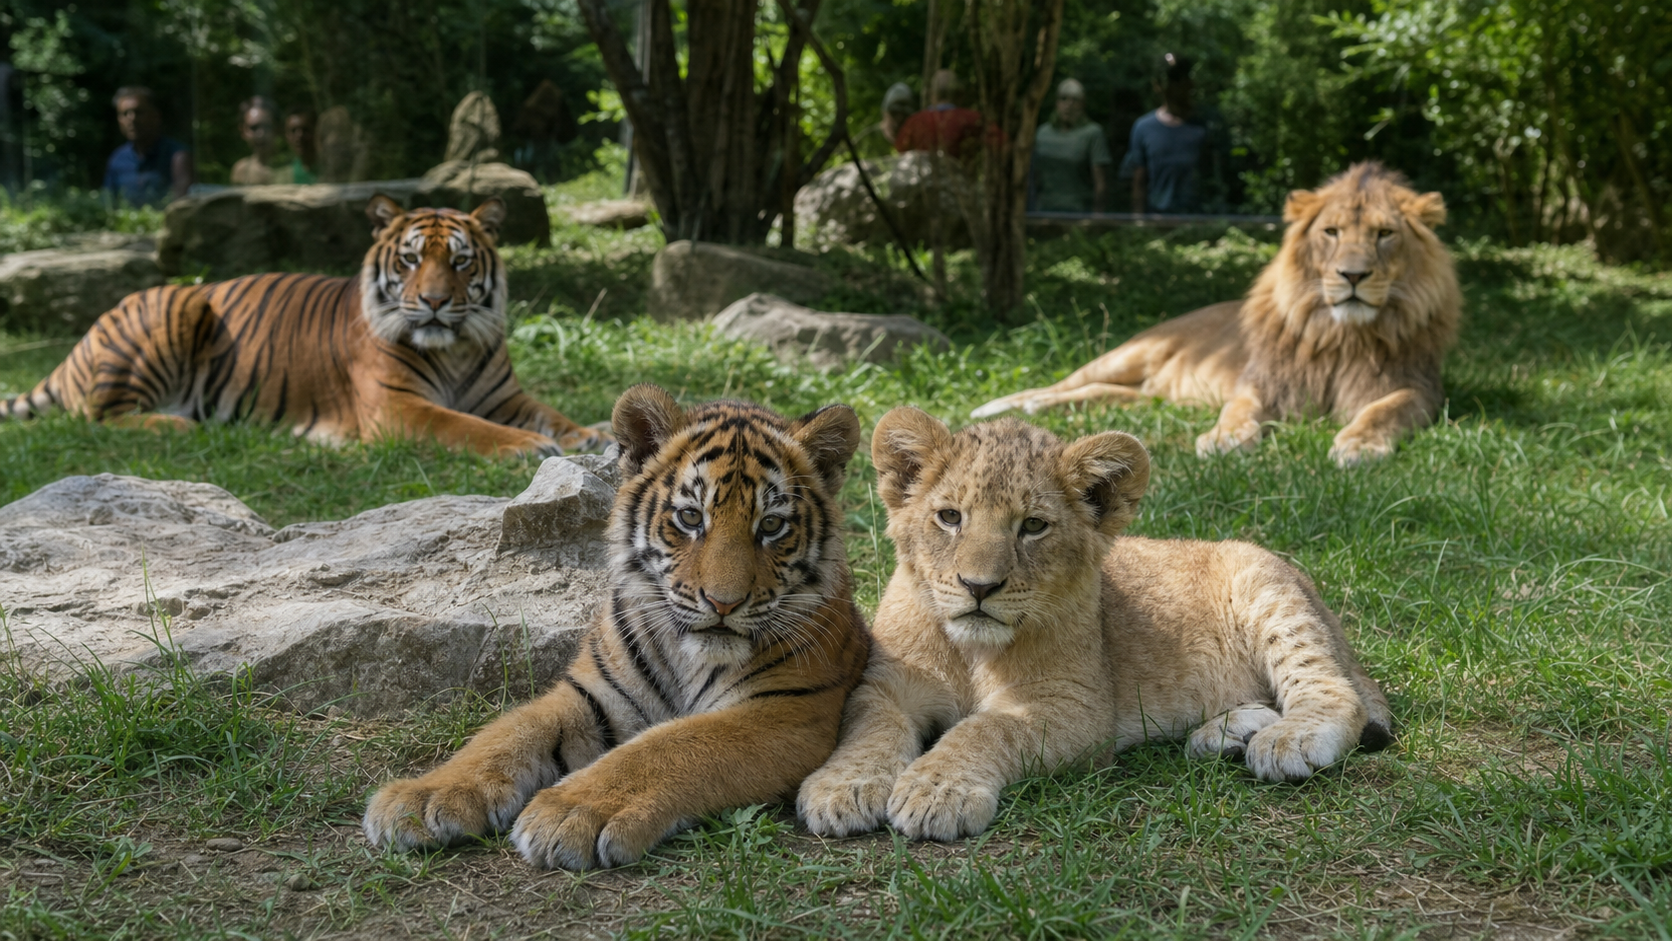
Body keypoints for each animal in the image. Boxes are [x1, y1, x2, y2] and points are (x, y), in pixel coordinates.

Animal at [0, 195, 605, 457]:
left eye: (460, 262)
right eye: (411, 260)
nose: (433, 302)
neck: (452, 347)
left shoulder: (504, 396)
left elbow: (551, 413)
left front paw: (588, 434)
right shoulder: (396, 408)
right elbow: (465, 426)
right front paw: (529, 447)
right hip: (175, 307)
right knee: (97, 416)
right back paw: (175, 426)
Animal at [363, 384, 872, 869]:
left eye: (770, 526)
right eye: (690, 517)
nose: (723, 603)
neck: (689, 656)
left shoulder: (786, 711)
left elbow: (669, 744)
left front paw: (571, 812)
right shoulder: (592, 692)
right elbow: (503, 734)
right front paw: (422, 798)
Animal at [798, 410, 1393, 841]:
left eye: (1033, 526)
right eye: (949, 517)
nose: (978, 586)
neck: (972, 653)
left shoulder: (1076, 708)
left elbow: (986, 729)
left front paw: (937, 791)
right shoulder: (887, 685)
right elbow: (869, 728)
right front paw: (842, 788)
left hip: (1267, 592)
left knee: (1335, 691)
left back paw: (1289, 738)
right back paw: (1228, 734)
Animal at [972, 162, 1461, 467]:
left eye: (1385, 234)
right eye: (1331, 232)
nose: (1353, 275)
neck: (1342, 334)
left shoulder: (1420, 388)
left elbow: (1386, 410)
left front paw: (1359, 443)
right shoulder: (1261, 381)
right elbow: (1239, 409)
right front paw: (1225, 439)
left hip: (1156, 396)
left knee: (1099, 393)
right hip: (1130, 354)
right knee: (1064, 383)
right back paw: (1003, 406)